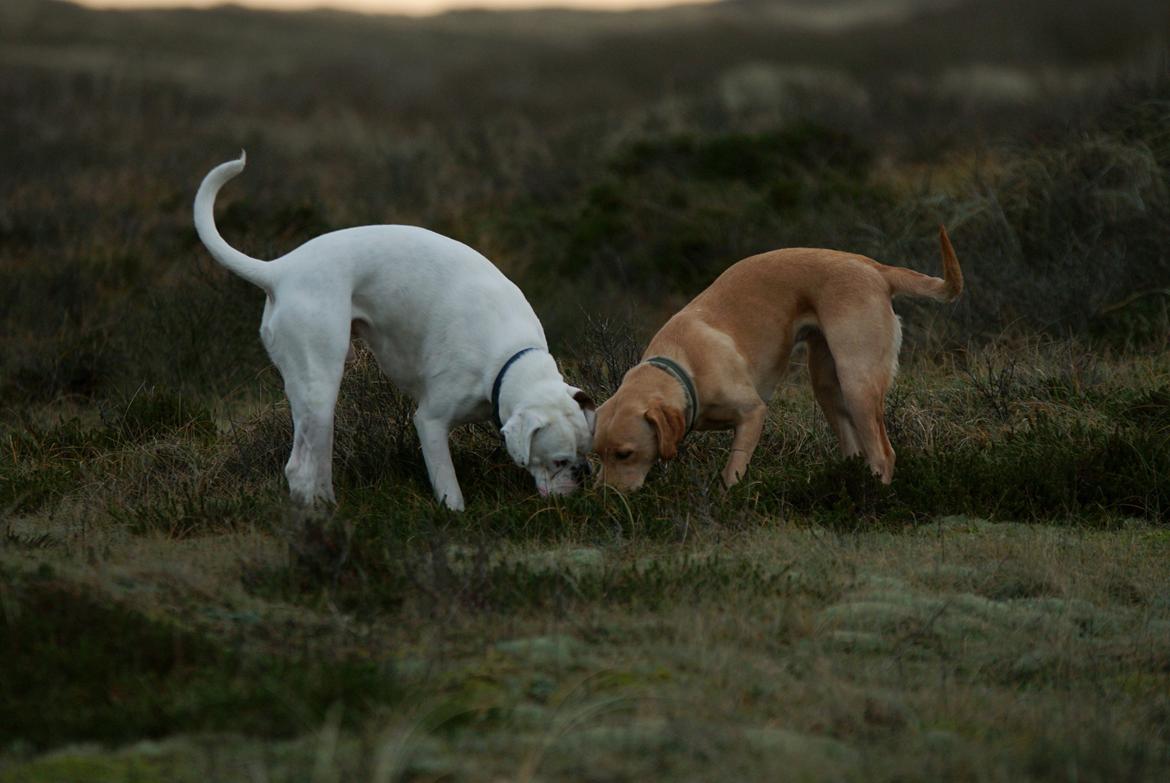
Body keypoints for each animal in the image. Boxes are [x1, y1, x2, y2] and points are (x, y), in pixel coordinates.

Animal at [196, 150, 594, 512]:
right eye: (559, 461)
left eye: (585, 452)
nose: (582, 475)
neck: (509, 359)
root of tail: (281, 269)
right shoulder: (431, 422)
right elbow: (449, 488)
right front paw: (454, 517)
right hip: (320, 387)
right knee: (299, 469)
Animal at [594, 225, 959, 489]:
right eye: (597, 454)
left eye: (625, 454)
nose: (605, 498)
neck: (683, 366)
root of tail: (874, 268)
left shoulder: (752, 414)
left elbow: (732, 472)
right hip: (827, 383)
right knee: (855, 448)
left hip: (857, 381)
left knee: (883, 454)